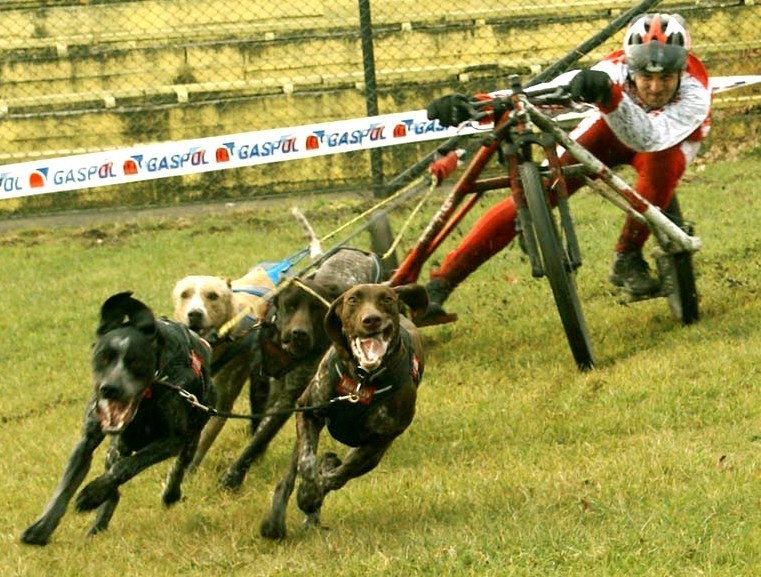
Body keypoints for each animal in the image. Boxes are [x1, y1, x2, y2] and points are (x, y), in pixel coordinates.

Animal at [20, 292, 215, 544]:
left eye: (136, 361)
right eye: (102, 358)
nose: (110, 389)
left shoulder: (171, 439)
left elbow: (128, 466)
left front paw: (92, 493)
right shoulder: (88, 440)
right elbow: (65, 485)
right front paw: (42, 528)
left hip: (192, 434)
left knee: (180, 464)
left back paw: (169, 493)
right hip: (116, 447)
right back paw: (99, 521)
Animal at [260, 284, 428, 540]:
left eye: (387, 299)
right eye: (352, 300)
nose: (371, 319)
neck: (360, 382)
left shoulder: (378, 444)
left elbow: (337, 476)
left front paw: (312, 495)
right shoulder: (308, 412)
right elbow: (307, 464)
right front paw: (308, 493)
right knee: (290, 475)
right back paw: (276, 522)